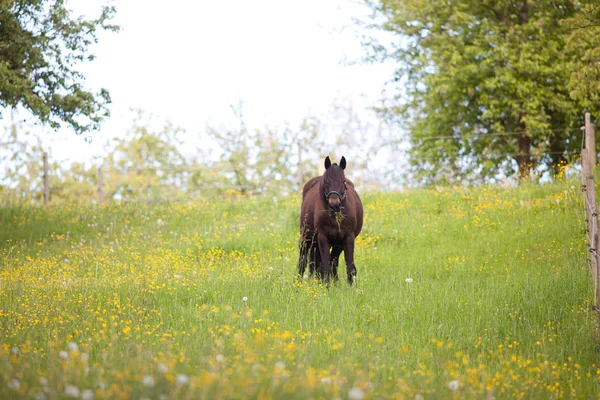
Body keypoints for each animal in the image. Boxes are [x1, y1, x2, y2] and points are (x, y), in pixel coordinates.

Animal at [298, 156, 364, 284]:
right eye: (326, 182)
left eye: (343, 182)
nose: (334, 205)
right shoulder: (323, 238)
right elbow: (325, 267)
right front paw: (326, 286)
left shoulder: (348, 238)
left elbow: (350, 267)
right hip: (306, 238)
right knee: (302, 261)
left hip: (336, 244)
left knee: (332, 261)